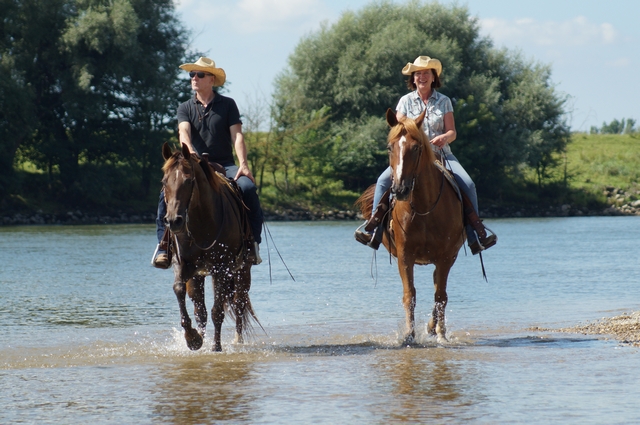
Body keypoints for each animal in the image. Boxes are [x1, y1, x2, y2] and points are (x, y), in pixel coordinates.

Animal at [161, 142, 258, 352]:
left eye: (189, 181)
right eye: (164, 182)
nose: (174, 221)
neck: (202, 222)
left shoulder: (221, 269)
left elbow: (217, 311)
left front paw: (216, 347)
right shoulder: (184, 265)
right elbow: (179, 290)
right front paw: (193, 338)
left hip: (242, 270)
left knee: (239, 302)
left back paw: (238, 340)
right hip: (198, 275)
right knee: (201, 310)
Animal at [356, 108, 464, 342]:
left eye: (416, 148)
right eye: (390, 147)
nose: (400, 189)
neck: (425, 208)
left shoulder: (445, 256)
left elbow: (440, 295)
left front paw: (441, 334)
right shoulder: (405, 255)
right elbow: (410, 295)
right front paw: (408, 335)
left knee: (438, 289)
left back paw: (433, 327)